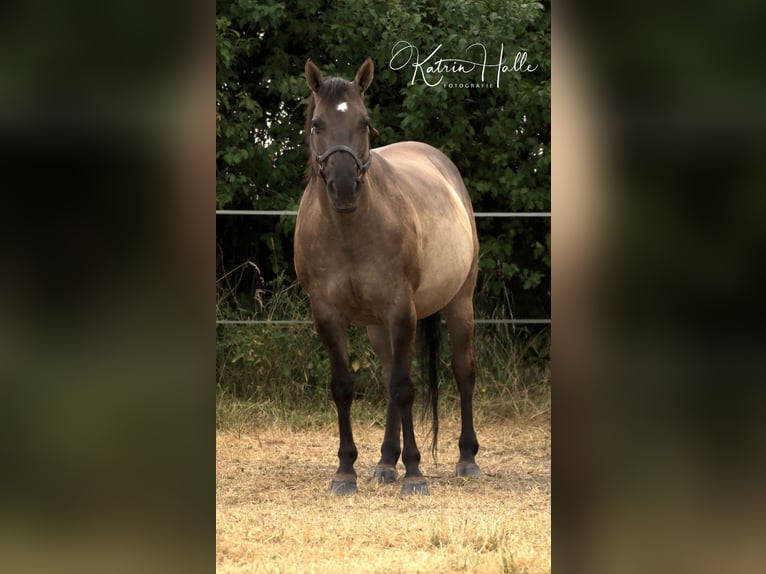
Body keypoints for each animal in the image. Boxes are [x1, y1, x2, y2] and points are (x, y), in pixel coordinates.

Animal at [294, 57, 481, 495]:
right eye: (317, 124)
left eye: (364, 122)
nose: (344, 186)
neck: (349, 231)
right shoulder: (327, 315)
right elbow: (345, 387)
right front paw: (346, 470)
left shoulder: (401, 311)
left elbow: (403, 388)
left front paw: (414, 472)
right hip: (380, 325)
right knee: (387, 374)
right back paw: (384, 462)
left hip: (459, 303)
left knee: (462, 370)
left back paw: (466, 458)